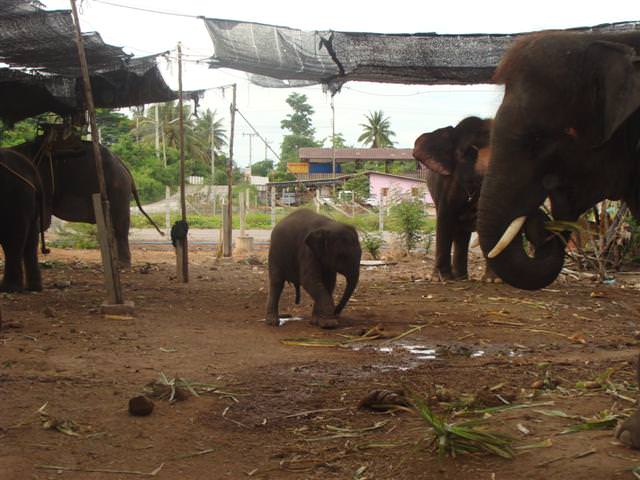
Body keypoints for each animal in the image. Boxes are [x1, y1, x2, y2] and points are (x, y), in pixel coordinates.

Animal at [412, 116, 498, 282]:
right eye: (469, 152)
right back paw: (459, 277)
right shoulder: (446, 183)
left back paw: (462, 277)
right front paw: (440, 279)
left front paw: (493, 280)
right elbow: (444, 218)